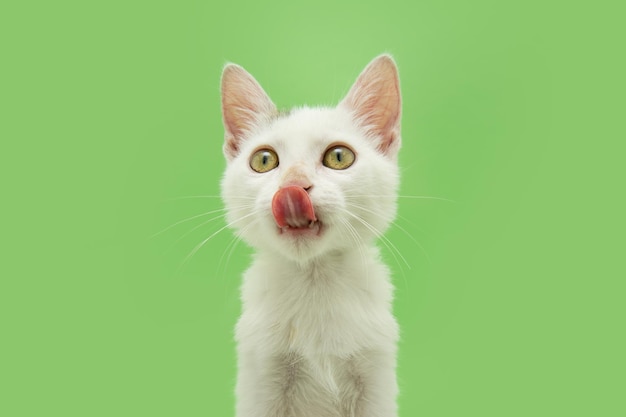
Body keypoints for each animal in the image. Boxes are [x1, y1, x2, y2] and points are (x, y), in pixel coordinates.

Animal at [219, 55, 400, 416]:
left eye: (339, 156)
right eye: (264, 160)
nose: (294, 185)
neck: (315, 283)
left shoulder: (375, 373)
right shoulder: (261, 370)